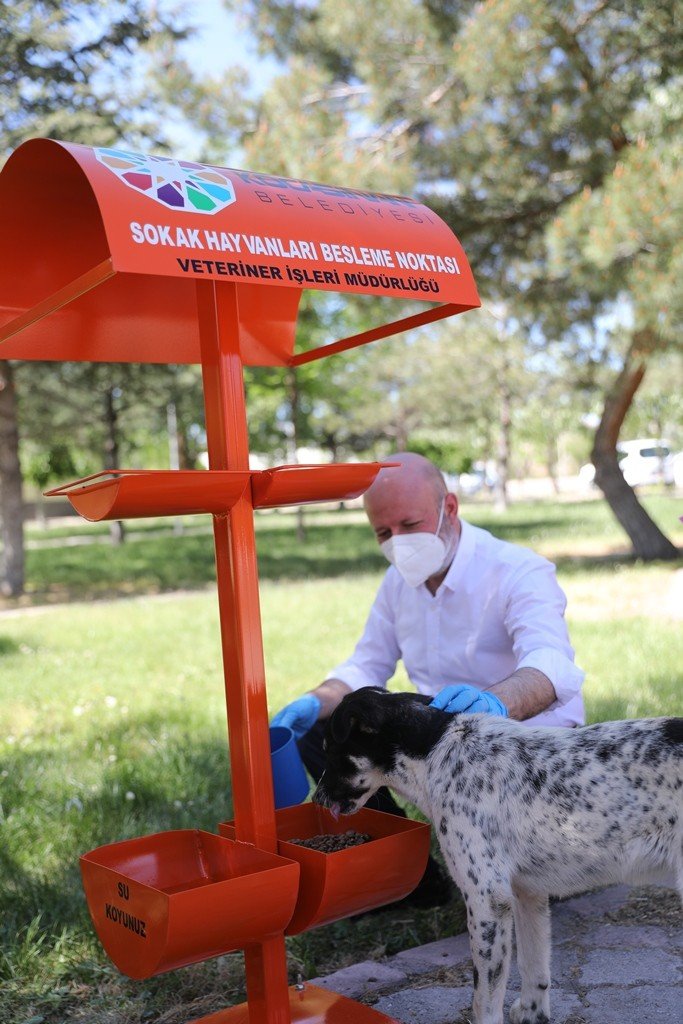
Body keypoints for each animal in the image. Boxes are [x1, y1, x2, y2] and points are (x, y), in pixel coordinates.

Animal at [313, 688, 683, 1024]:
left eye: (330, 749)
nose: (316, 799)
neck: (435, 751)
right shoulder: (526, 893)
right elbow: (533, 966)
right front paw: (533, 1014)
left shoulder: (486, 900)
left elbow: (484, 1000)